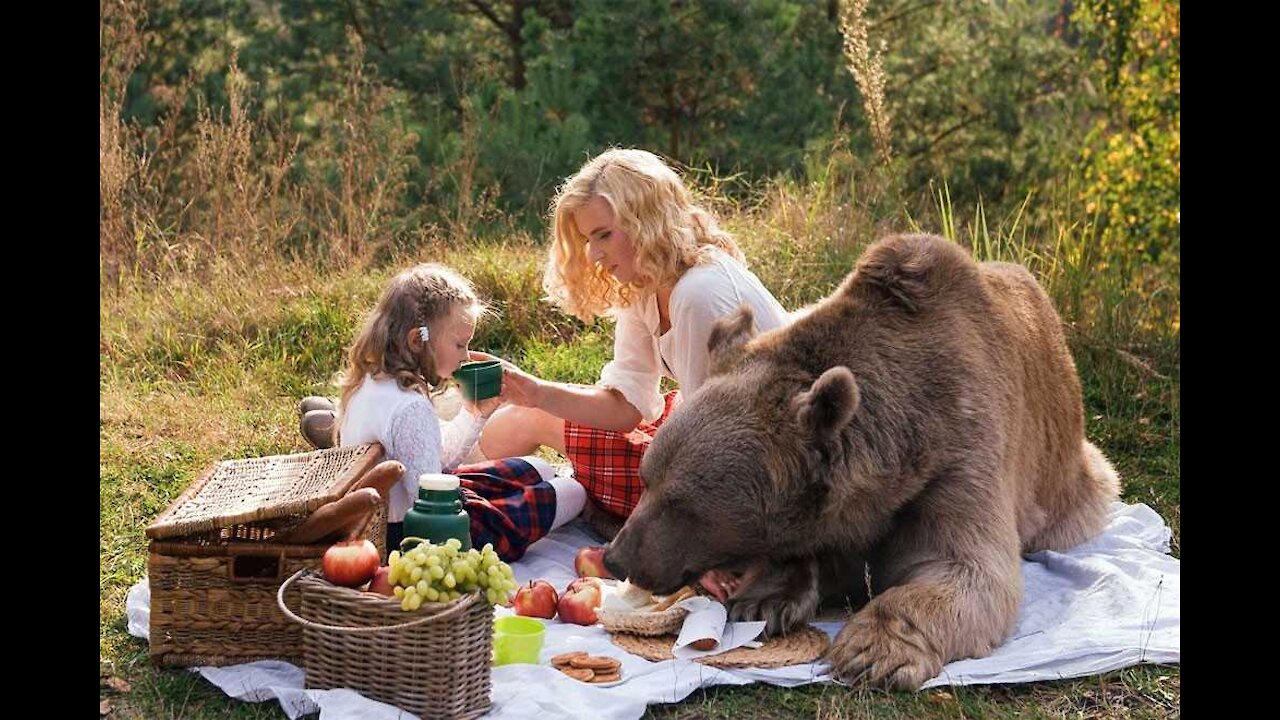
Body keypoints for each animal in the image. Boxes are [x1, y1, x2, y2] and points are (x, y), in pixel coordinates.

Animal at [604, 233, 1116, 686]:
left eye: (683, 504)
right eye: (647, 479)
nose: (617, 557)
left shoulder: (961, 452)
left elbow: (966, 567)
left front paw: (870, 650)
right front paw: (766, 597)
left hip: (1070, 479)